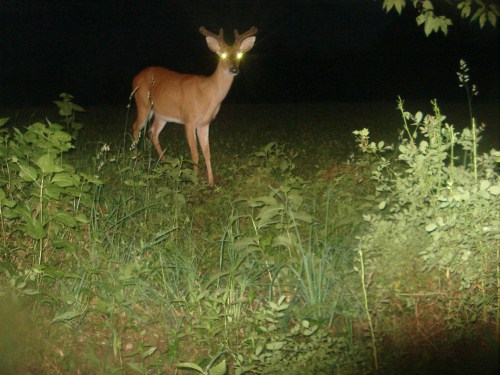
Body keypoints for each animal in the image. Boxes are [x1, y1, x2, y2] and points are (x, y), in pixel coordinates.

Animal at [131, 25, 258, 187]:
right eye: (222, 54)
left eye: (240, 54)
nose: (234, 69)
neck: (207, 95)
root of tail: (135, 77)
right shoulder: (189, 120)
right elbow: (195, 154)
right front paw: (195, 180)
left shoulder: (205, 123)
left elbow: (207, 153)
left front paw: (211, 182)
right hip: (142, 103)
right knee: (136, 128)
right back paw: (135, 161)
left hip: (161, 114)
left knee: (152, 133)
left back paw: (165, 164)